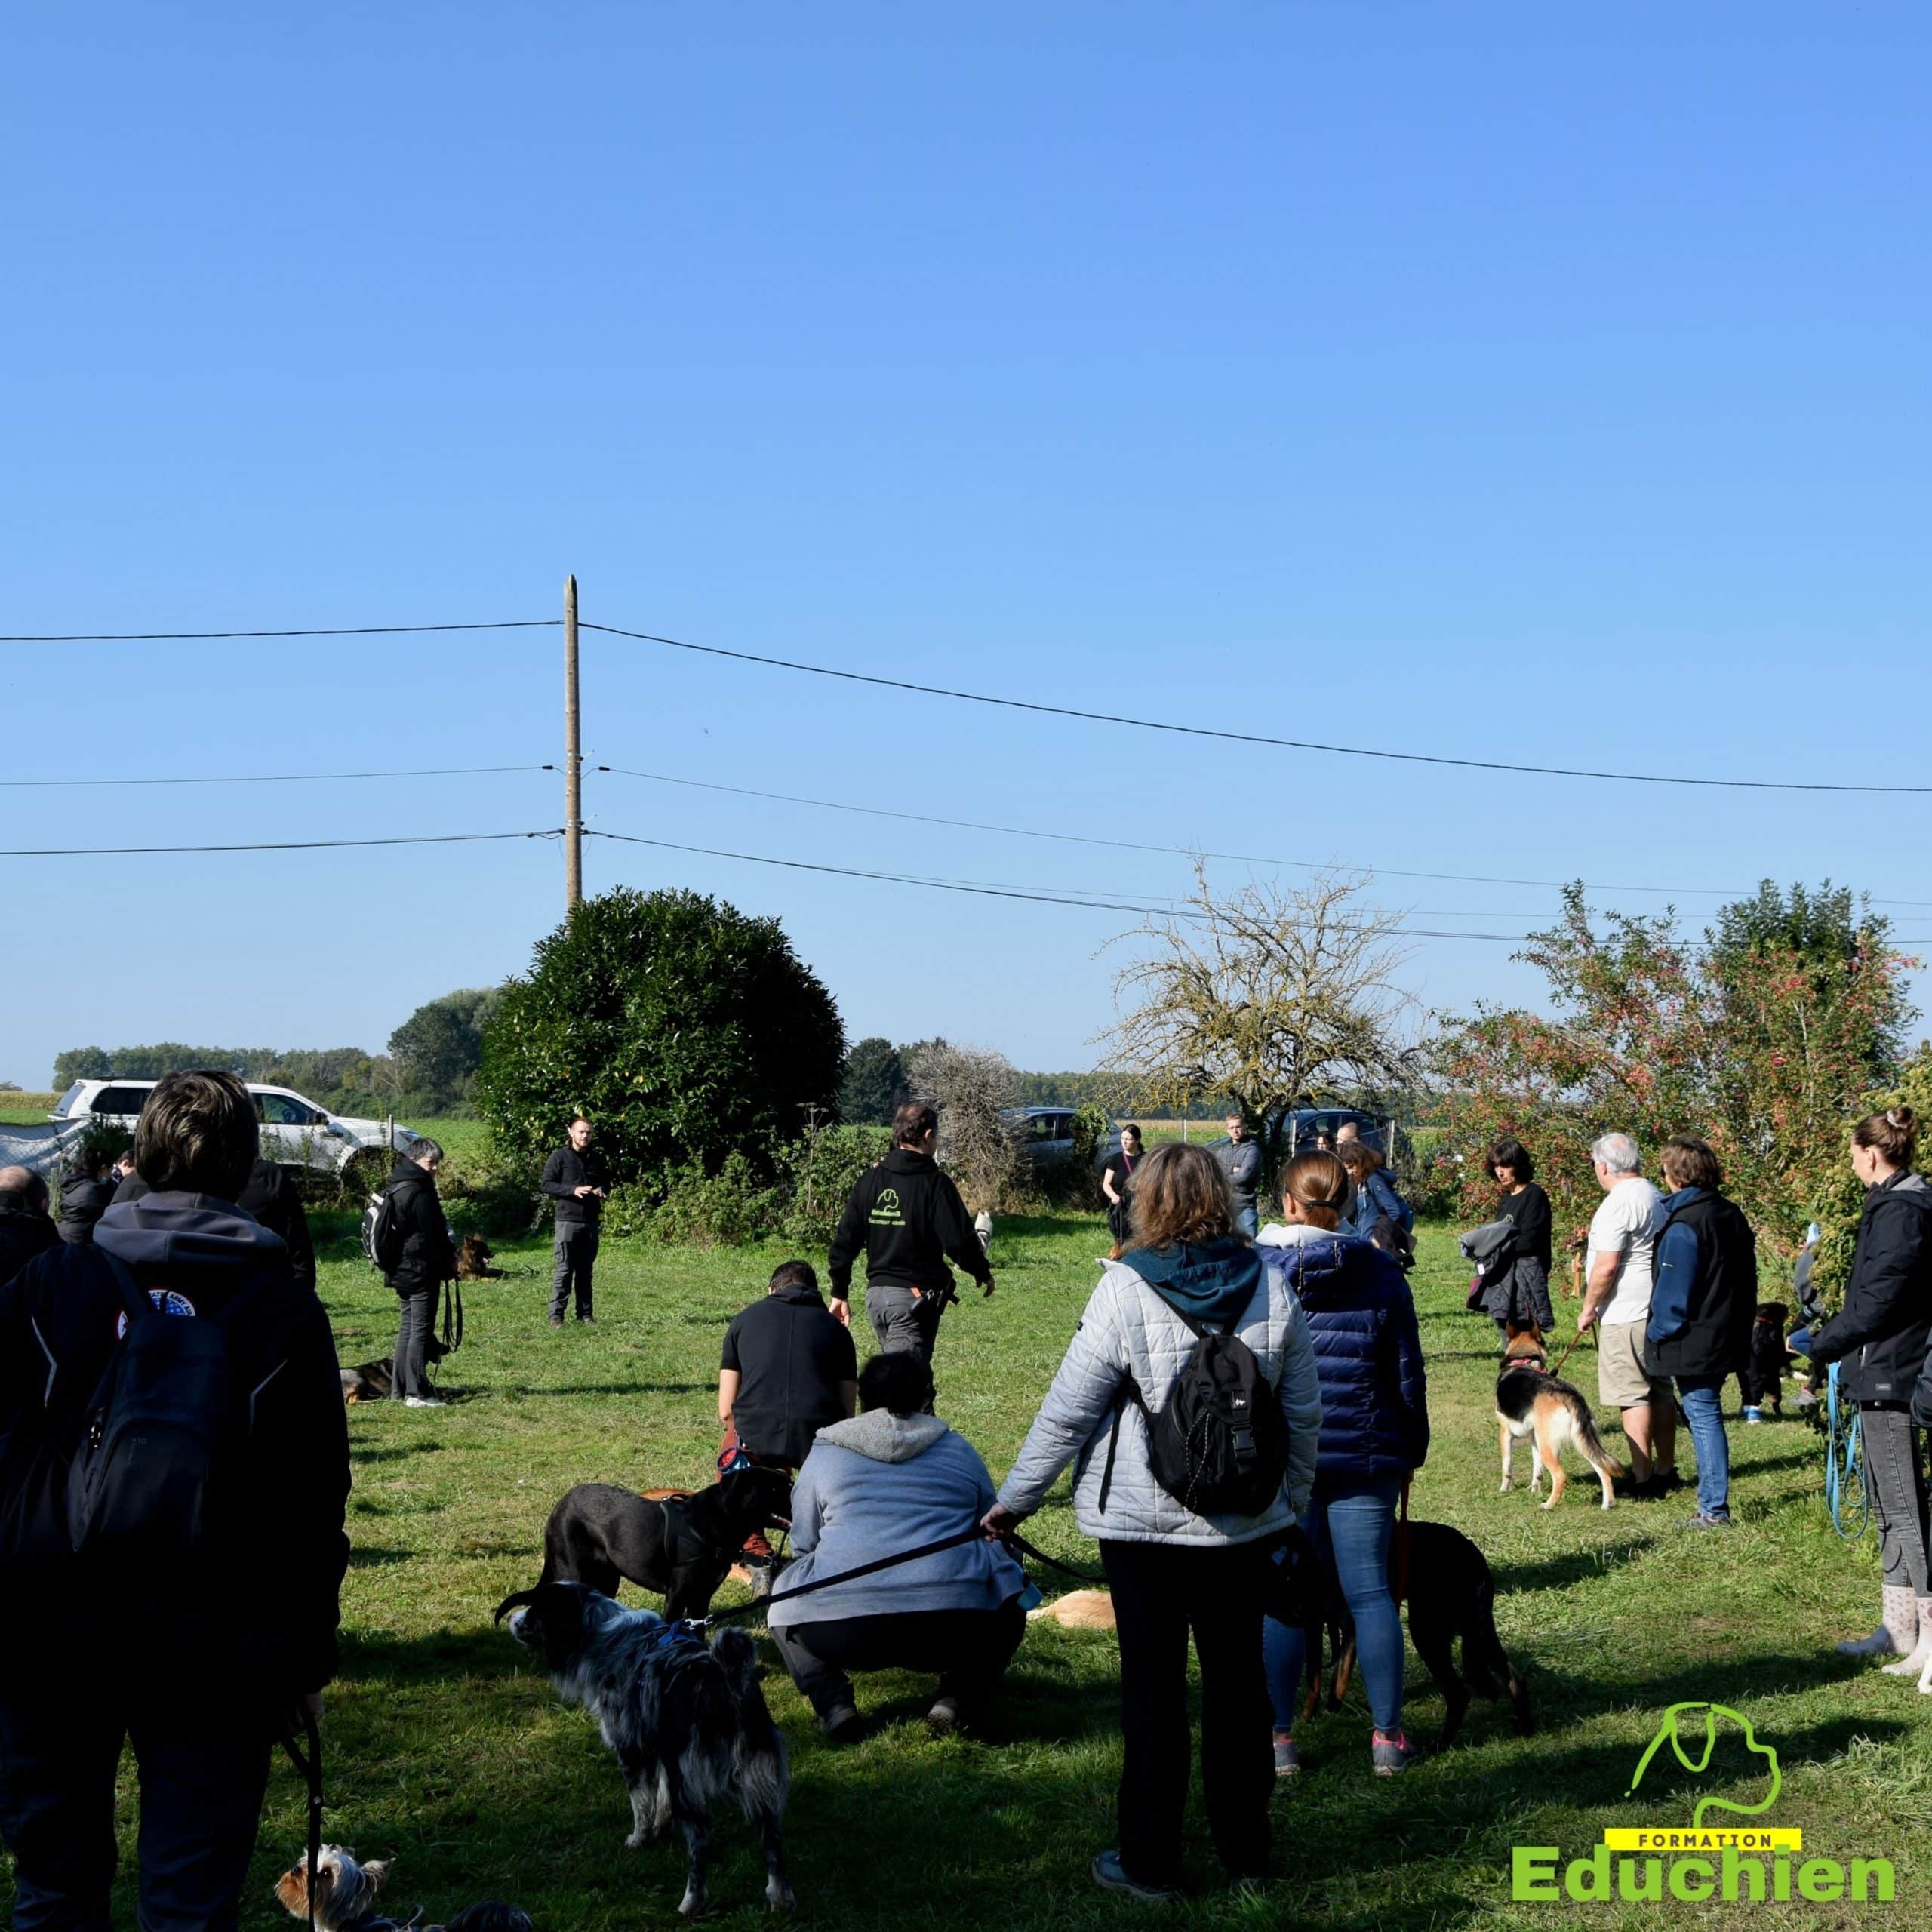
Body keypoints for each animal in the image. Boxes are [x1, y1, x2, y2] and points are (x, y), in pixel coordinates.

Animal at [498, 1584, 799, 1916]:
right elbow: (661, 1800)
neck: (602, 1637)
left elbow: (641, 1803)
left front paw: (640, 1839)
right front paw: (661, 1827)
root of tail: (725, 1680)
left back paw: (691, 1902)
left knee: (699, 1846)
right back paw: (781, 1898)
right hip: (759, 1784)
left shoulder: (631, 1749)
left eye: (535, 1608)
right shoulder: (663, 1752)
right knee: (773, 1845)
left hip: (693, 1787)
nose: (511, 1618)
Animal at [537, 1468, 792, 1623]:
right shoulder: (677, 1596)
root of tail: (561, 1503)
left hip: (607, 1578)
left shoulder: (701, 1598)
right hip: (572, 1572)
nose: (798, 1494)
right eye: (775, 1488)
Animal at [1499, 1329, 1623, 1506]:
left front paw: (1504, 1489)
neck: (1523, 1361)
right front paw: (1534, 1490)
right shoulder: (1534, 1437)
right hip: (1581, 1442)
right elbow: (1537, 1471)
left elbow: (1507, 1467)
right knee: (1604, 1470)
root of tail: (1569, 1395)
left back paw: (1548, 1505)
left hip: (1549, 1447)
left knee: (1560, 1476)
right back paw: (1607, 1505)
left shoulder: (1504, 1431)